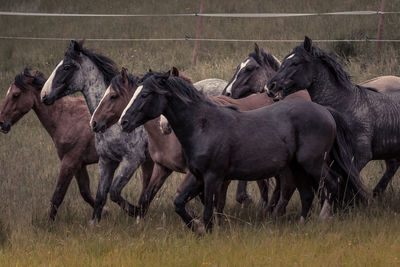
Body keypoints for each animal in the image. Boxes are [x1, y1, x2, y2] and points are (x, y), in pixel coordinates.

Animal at [0, 68, 99, 221]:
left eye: (15, 95)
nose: (1, 123)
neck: (66, 116)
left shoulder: (70, 162)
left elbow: (57, 196)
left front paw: (49, 223)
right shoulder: (79, 165)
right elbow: (86, 193)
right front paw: (105, 212)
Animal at [38, 39, 155, 224]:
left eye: (66, 67)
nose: (43, 95)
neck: (114, 125)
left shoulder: (131, 160)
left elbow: (114, 192)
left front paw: (134, 211)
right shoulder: (106, 161)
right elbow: (101, 196)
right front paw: (94, 223)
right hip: (149, 161)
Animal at [90, 67, 270, 220]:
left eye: (113, 96)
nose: (94, 122)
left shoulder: (193, 172)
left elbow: (186, 195)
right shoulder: (162, 167)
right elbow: (147, 196)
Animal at [118, 72, 366, 233]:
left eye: (146, 94)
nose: (123, 122)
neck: (203, 125)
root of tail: (325, 111)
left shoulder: (213, 177)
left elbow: (209, 209)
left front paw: (207, 230)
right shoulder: (197, 176)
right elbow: (179, 202)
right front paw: (196, 227)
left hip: (312, 163)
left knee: (332, 183)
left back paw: (324, 219)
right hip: (297, 167)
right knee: (306, 194)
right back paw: (303, 224)